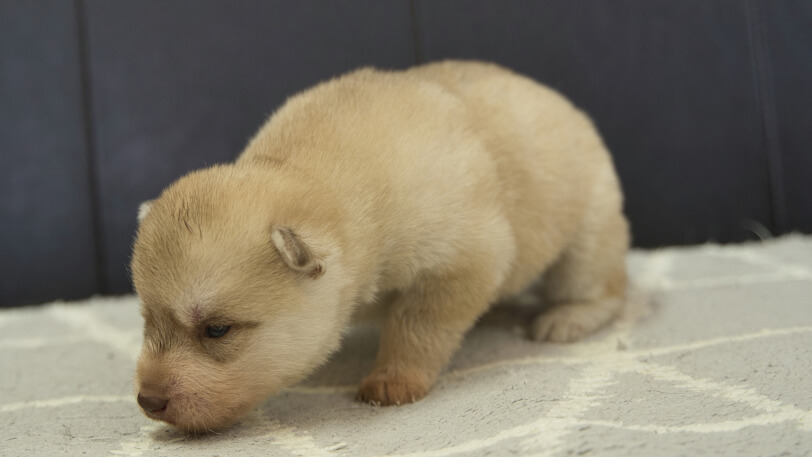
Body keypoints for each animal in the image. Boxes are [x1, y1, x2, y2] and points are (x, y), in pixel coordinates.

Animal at [132, 60, 628, 432]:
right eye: (147, 320)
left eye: (217, 330)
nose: (147, 401)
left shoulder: (461, 260)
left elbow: (416, 324)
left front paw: (394, 378)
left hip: (589, 232)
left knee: (604, 287)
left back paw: (568, 316)